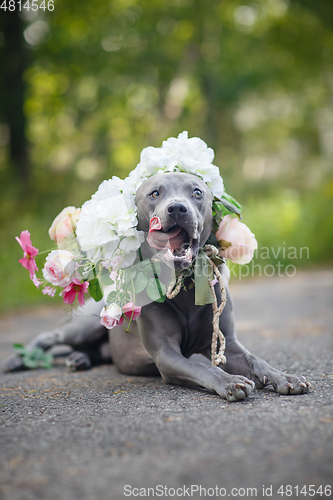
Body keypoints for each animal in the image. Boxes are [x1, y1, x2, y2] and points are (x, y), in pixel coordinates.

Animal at [3, 174, 308, 400]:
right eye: (154, 194)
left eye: (197, 192)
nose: (177, 208)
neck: (185, 285)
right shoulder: (166, 354)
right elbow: (202, 367)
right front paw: (231, 381)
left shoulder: (229, 344)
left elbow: (257, 360)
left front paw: (285, 377)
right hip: (85, 324)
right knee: (50, 335)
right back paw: (17, 360)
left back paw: (79, 359)